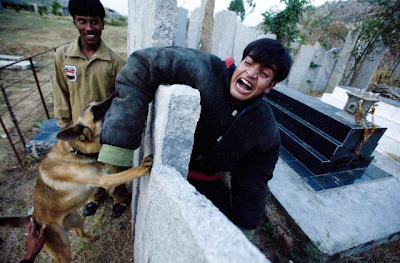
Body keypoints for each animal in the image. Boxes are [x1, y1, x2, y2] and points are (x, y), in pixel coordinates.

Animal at [0, 95, 152, 263]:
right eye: (97, 111)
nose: (117, 93)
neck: (76, 150)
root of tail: (34, 218)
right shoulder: (103, 179)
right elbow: (125, 174)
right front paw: (141, 168)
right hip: (62, 250)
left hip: (76, 218)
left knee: (79, 232)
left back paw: (91, 237)